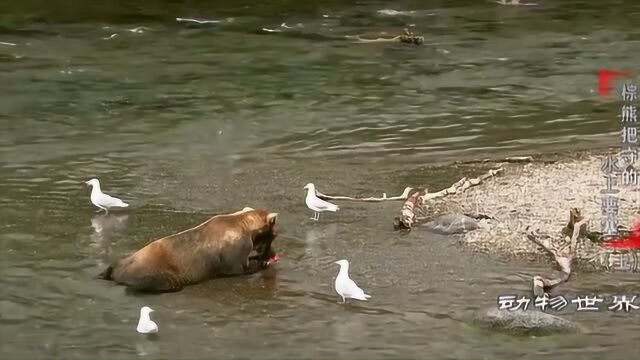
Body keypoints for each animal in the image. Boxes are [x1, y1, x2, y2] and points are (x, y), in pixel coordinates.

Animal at [99, 208, 278, 292]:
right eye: (274, 236)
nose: (274, 253)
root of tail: (116, 271)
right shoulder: (233, 250)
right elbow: (239, 268)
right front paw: (262, 263)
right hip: (155, 270)